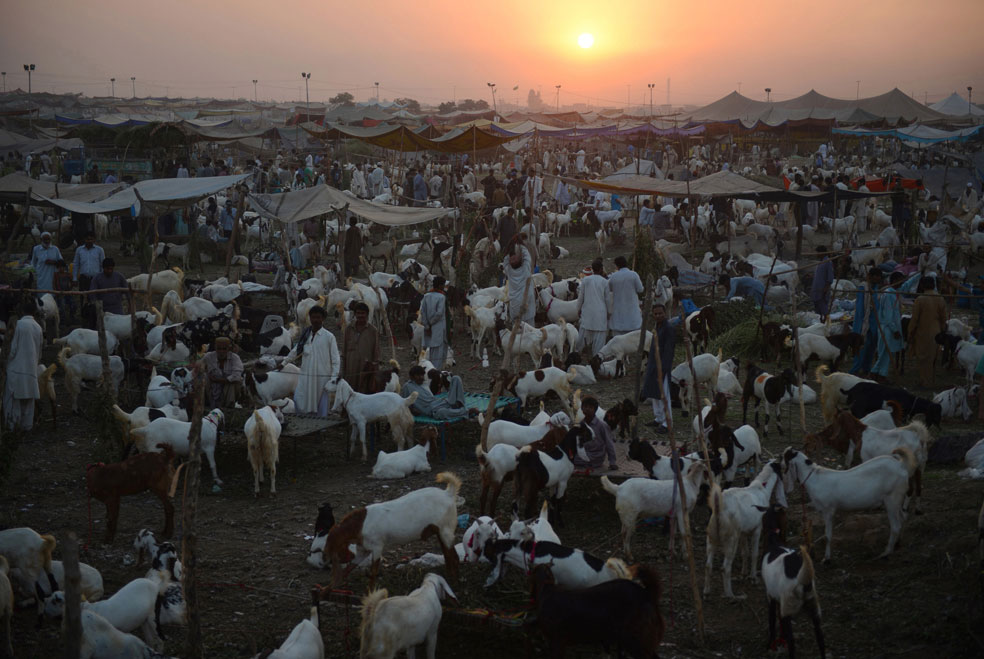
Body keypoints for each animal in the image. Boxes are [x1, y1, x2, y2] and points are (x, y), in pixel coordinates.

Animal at [322, 472, 462, 592]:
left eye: (329, 544)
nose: (324, 559)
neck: (359, 525)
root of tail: (448, 493)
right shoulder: (363, 550)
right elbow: (349, 567)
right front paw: (326, 590)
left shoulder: (377, 546)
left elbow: (373, 572)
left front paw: (370, 592)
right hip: (440, 532)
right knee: (448, 556)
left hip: (446, 530)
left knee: (454, 558)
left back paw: (455, 585)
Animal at [704, 462, 788, 600]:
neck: (762, 488)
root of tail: (718, 509)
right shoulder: (757, 529)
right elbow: (754, 553)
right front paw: (753, 577)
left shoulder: (742, 532)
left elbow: (745, 552)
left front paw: (744, 573)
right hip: (731, 539)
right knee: (725, 568)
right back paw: (730, 595)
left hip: (711, 537)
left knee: (708, 565)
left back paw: (706, 592)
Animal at [756, 506, 828, 656]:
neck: (774, 541)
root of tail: (804, 580)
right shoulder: (778, 598)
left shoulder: (770, 596)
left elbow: (772, 620)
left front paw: (770, 644)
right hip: (814, 607)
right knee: (821, 639)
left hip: (789, 607)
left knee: (792, 641)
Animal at [780, 444, 920, 564]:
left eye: (785, 456)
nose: (778, 463)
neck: (814, 477)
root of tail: (901, 465)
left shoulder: (828, 509)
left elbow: (828, 535)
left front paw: (827, 559)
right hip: (897, 499)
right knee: (903, 517)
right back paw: (898, 543)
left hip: (891, 498)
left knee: (895, 526)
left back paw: (886, 553)